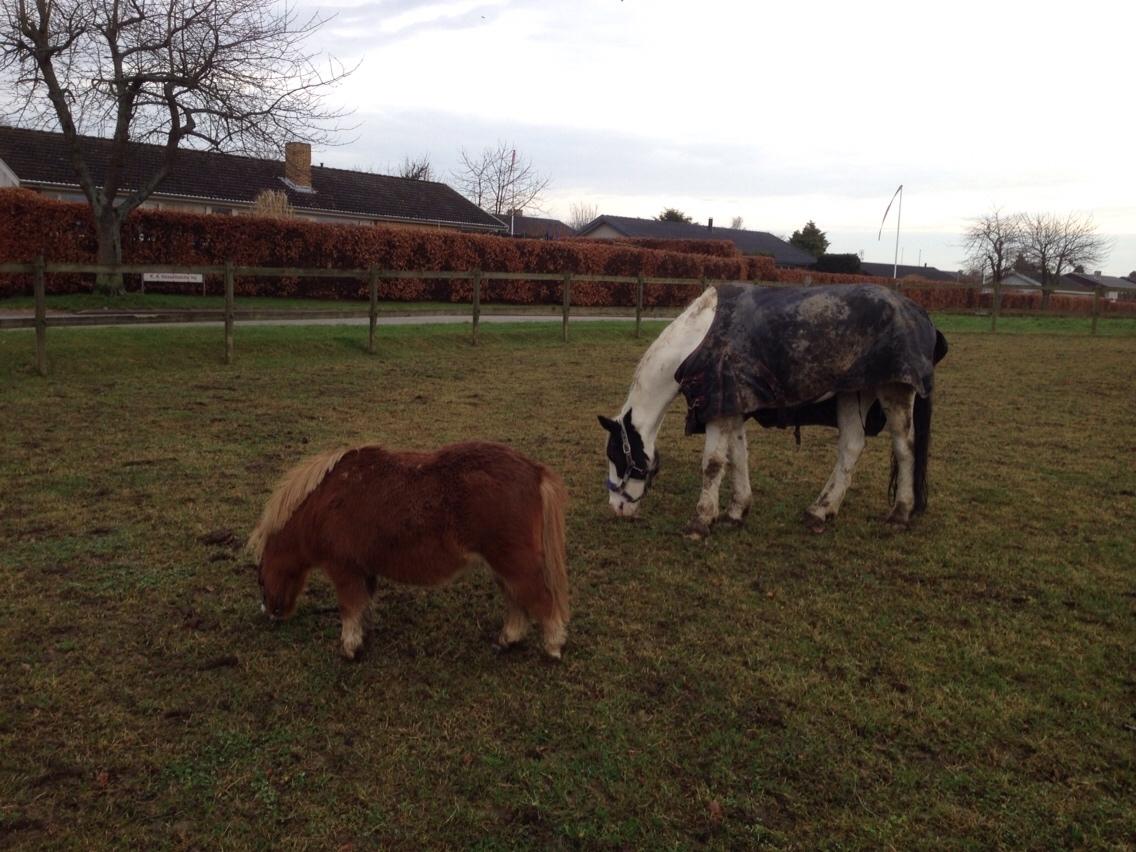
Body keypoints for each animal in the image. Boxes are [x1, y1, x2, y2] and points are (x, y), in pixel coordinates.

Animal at [246, 443, 568, 663]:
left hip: (514, 562)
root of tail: (534, 471)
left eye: (261, 580)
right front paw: (363, 639)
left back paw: (553, 646)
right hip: (502, 565)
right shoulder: (365, 571)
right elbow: (364, 606)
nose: (269, 614)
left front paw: (349, 649)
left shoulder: (344, 570)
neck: (324, 502)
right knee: (517, 601)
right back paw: (507, 640)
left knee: (541, 598)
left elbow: (349, 608)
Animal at [599, 284, 954, 536]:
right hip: (855, 391)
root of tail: (919, 313)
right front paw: (736, 512)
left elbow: (712, 464)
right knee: (852, 446)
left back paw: (900, 514)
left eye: (617, 456)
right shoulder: (733, 408)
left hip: (895, 391)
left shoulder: (719, 410)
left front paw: (701, 521)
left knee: (905, 449)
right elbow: (737, 457)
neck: (698, 341)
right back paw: (820, 511)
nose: (616, 508)